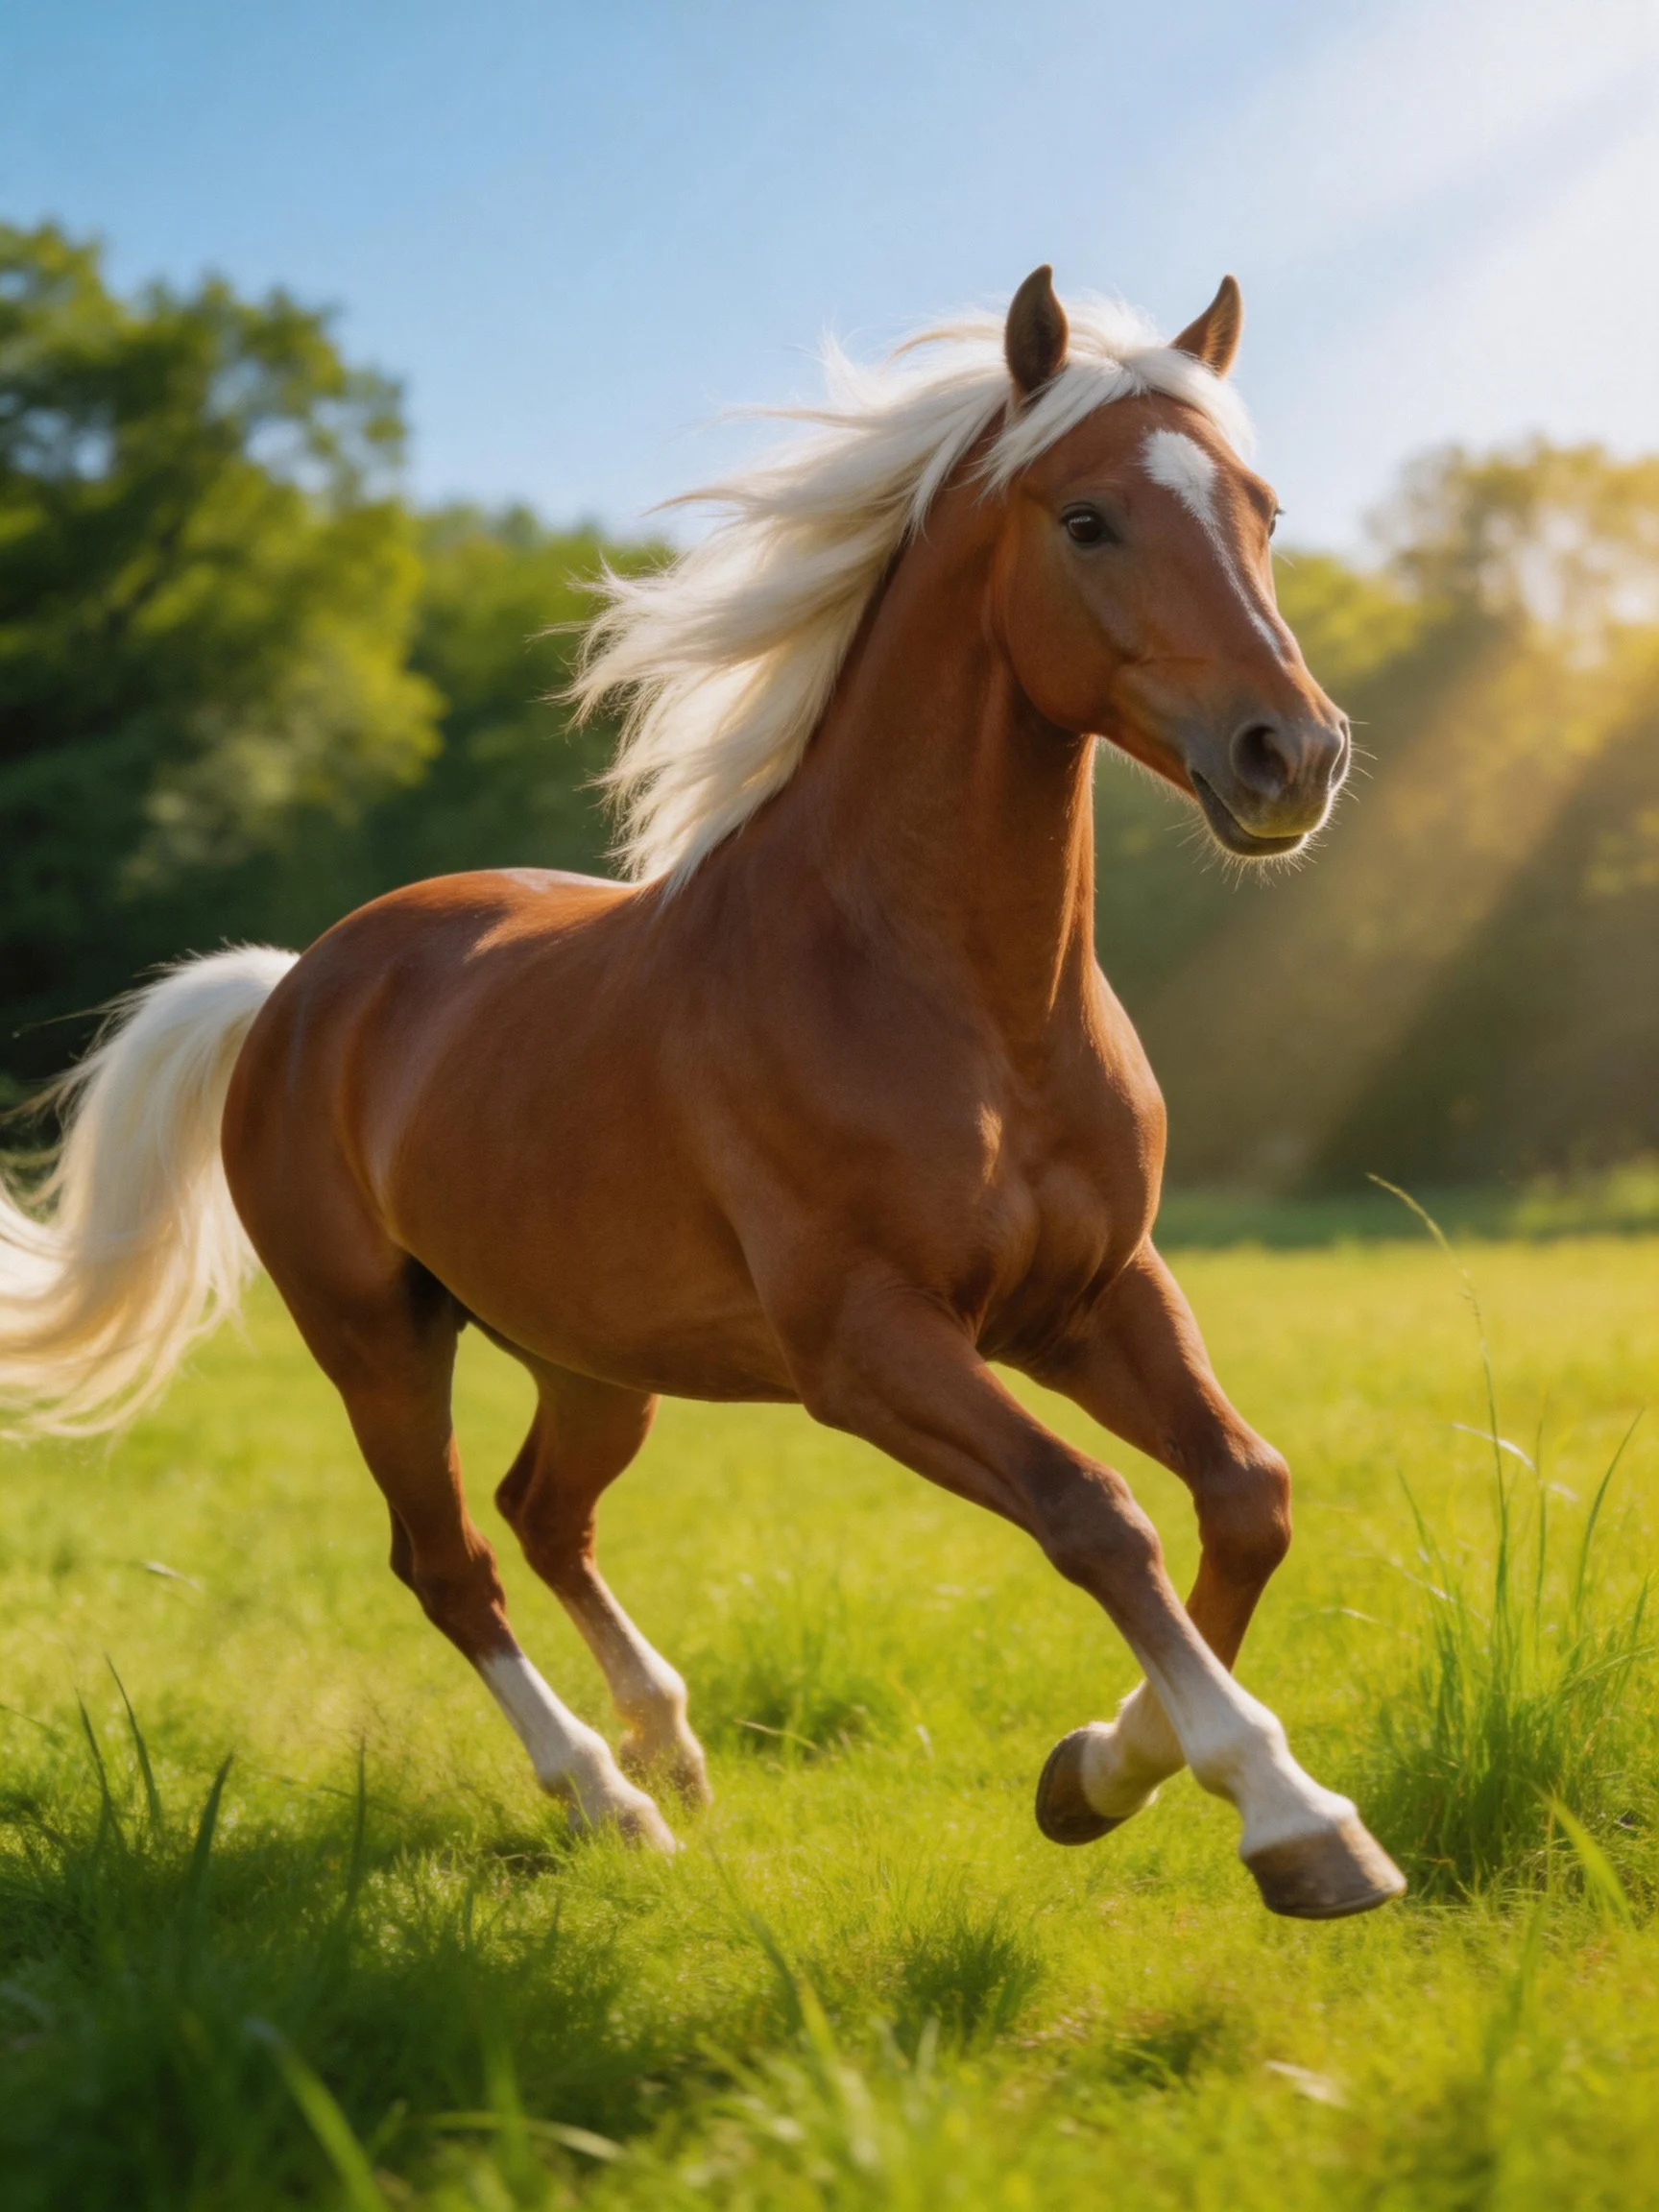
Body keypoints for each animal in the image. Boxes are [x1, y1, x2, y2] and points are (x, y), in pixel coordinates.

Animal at [0, 268, 1404, 1919]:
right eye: (1087, 520)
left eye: (1263, 509)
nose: (1290, 756)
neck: (957, 1004)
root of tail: (293, 989)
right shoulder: (868, 1346)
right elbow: (1094, 1513)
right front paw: (1287, 1816)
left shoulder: (1092, 1295)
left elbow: (1247, 1490)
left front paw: (1099, 1775)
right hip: (376, 1342)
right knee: (450, 1559)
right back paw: (608, 1802)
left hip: (592, 1357)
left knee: (546, 1510)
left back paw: (670, 1752)